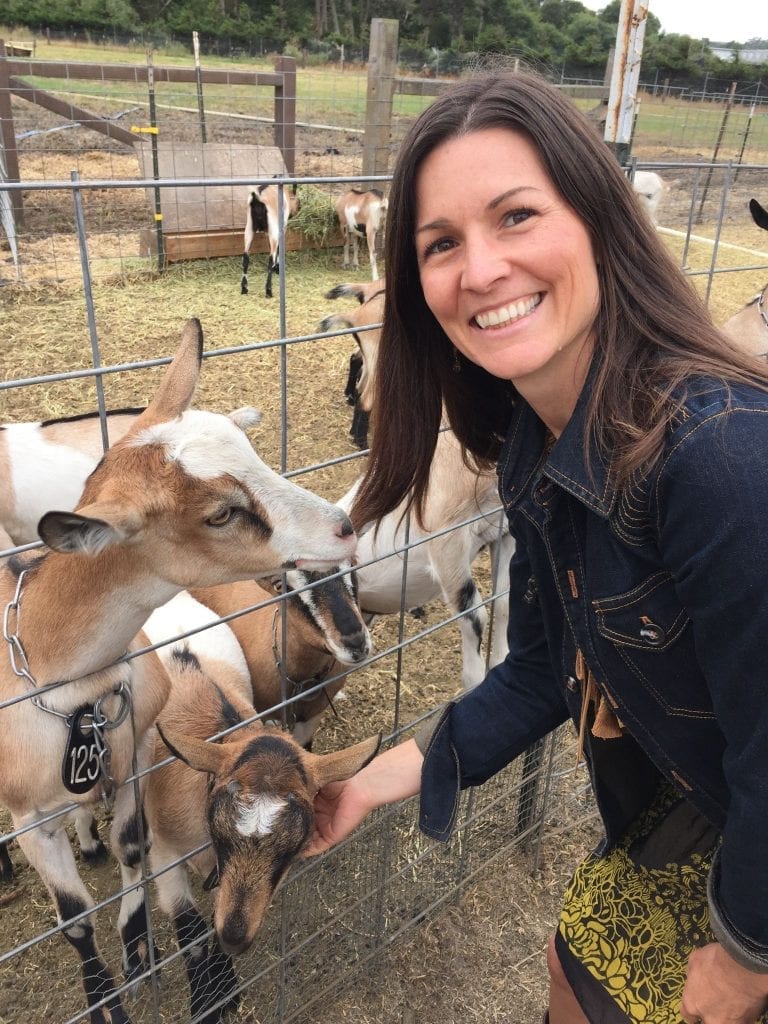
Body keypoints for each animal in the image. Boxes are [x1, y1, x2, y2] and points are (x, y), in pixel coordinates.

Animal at [138, 589, 382, 1024]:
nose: (236, 938)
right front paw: (208, 1002)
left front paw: (224, 985)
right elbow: (189, 924)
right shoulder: (166, 852)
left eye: (289, 852)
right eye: (220, 833)